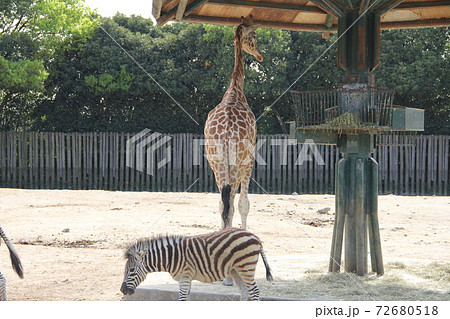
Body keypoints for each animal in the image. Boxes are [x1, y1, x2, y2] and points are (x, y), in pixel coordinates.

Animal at [119, 229, 272, 302]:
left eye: (131, 270)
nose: (122, 290)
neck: (171, 257)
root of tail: (255, 237)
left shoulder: (185, 277)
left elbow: (182, 299)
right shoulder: (188, 278)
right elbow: (187, 298)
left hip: (246, 268)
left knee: (255, 292)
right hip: (236, 270)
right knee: (246, 292)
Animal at [205, 15, 264, 232]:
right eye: (254, 36)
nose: (260, 55)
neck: (235, 90)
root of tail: (226, 133)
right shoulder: (249, 158)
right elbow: (244, 203)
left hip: (217, 162)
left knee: (223, 201)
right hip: (236, 162)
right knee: (230, 201)